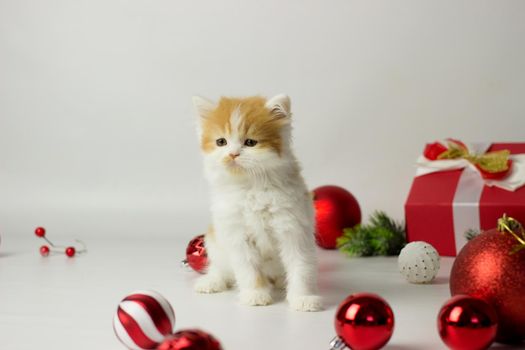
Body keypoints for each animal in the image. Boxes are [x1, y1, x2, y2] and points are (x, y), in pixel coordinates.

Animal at [192, 93, 322, 312]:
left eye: (250, 142)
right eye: (221, 142)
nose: (232, 154)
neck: (251, 187)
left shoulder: (294, 229)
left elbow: (301, 266)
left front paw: (302, 298)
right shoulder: (237, 234)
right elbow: (248, 270)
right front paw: (255, 295)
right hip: (214, 241)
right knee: (220, 268)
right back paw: (211, 281)